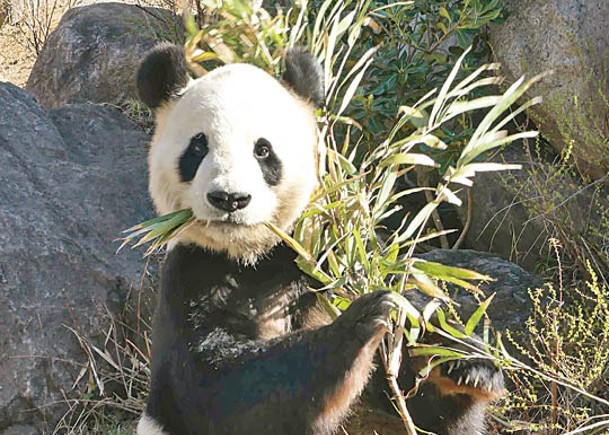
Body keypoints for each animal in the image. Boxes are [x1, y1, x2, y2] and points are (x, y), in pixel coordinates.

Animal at [135, 41, 506, 435]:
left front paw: (468, 363)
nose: (230, 198)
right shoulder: (191, 277)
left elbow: (422, 391)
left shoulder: (322, 256)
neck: (252, 256)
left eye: (263, 150)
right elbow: (219, 389)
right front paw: (361, 321)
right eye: (197, 147)